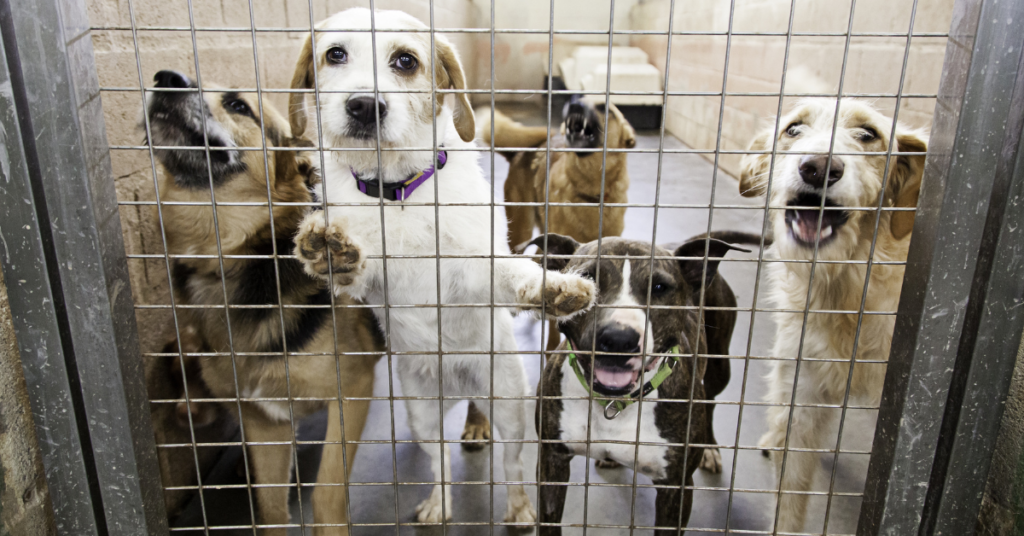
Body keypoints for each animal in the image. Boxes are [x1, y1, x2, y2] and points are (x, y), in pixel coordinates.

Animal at [146, 69, 382, 532]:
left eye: (239, 106)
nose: (166, 78)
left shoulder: (353, 389)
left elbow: (327, 493)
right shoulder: (263, 419)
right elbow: (271, 508)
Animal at [286, 7, 598, 528]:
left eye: (405, 60)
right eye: (335, 54)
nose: (363, 106)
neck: (400, 192)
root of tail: (455, 385)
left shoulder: (473, 267)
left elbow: (512, 275)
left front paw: (552, 288)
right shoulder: (371, 277)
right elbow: (353, 263)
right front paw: (329, 250)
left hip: (510, 405)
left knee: (512, 465)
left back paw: (519, 506)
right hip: (422, 414)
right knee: (440, 463)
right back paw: (440, 503)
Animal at [528, 232, 753, 532]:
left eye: (659, 287)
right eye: (587, 278)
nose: (619, 339)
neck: (614, 402)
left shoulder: (676, 487)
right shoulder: (552, 464)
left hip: (720, 366)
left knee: (711, 399)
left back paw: (710, 449)